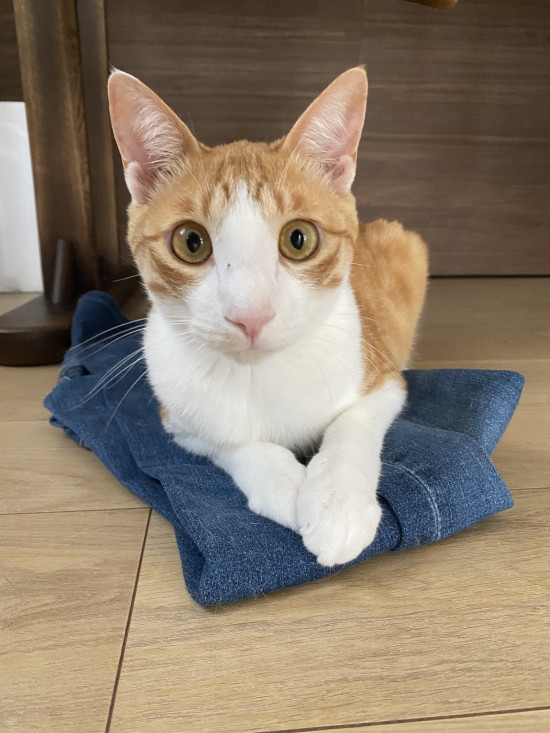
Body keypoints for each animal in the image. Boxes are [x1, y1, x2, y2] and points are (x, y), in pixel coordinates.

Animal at [108, 66, 428, 567]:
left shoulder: (382, 379)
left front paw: (336, 506)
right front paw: (286, 487)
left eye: (299, 239)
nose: (250, 315)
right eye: (190, 242)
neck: (258, 376)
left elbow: (351, 427)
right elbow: (231, 443)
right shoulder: (177, 420)